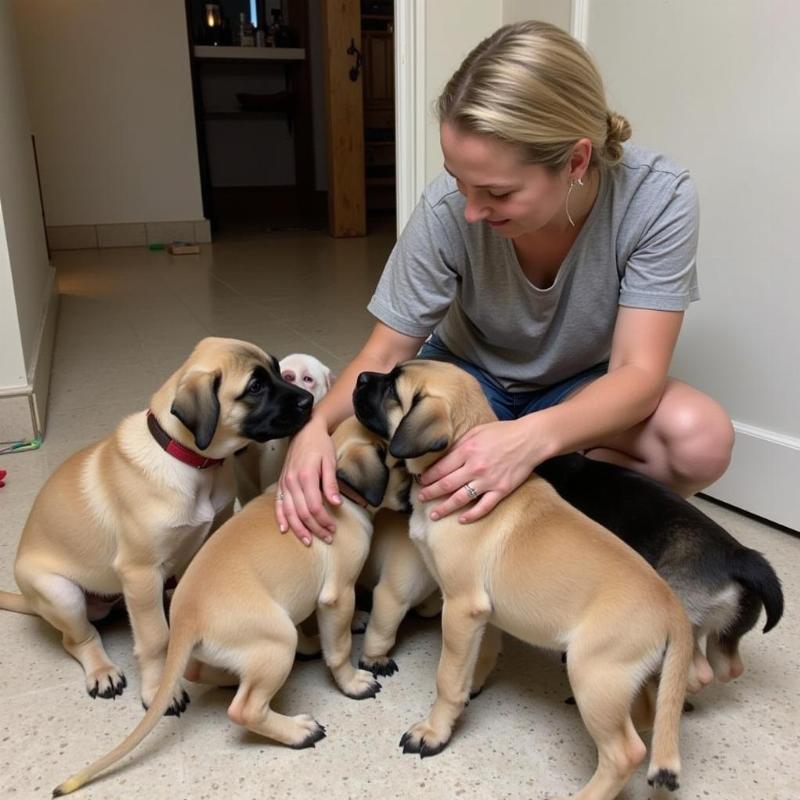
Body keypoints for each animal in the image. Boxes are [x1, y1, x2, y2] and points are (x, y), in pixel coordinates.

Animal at [0, 338, 312, 712]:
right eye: (255, 387)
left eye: (278, 370)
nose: (309, 401)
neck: (190, 462)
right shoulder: (140, 571)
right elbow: (155, 639)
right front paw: (158, 689)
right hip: (62, 594)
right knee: (78, 639)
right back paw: (102, 670)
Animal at [53, 416, 410, 796]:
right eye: (402, 467)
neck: (337, 493)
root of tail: (186, 618)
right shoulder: (338, 595)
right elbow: (339, 648)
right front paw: (352, 682)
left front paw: (342, 629)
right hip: (277, 641)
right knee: (245, 709)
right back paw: (297, 731)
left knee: (201, 671)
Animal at [354, 360, 696, 800]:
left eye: (392, 389)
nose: (361, 377)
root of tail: (673, 607)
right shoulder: (484, 616)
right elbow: (479, 658)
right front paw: (471, 690)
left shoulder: (461, 608)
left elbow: (447, 678)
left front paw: (434, 731)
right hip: (624, 681)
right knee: (646, 716)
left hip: (595, 675)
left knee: (625, 753)